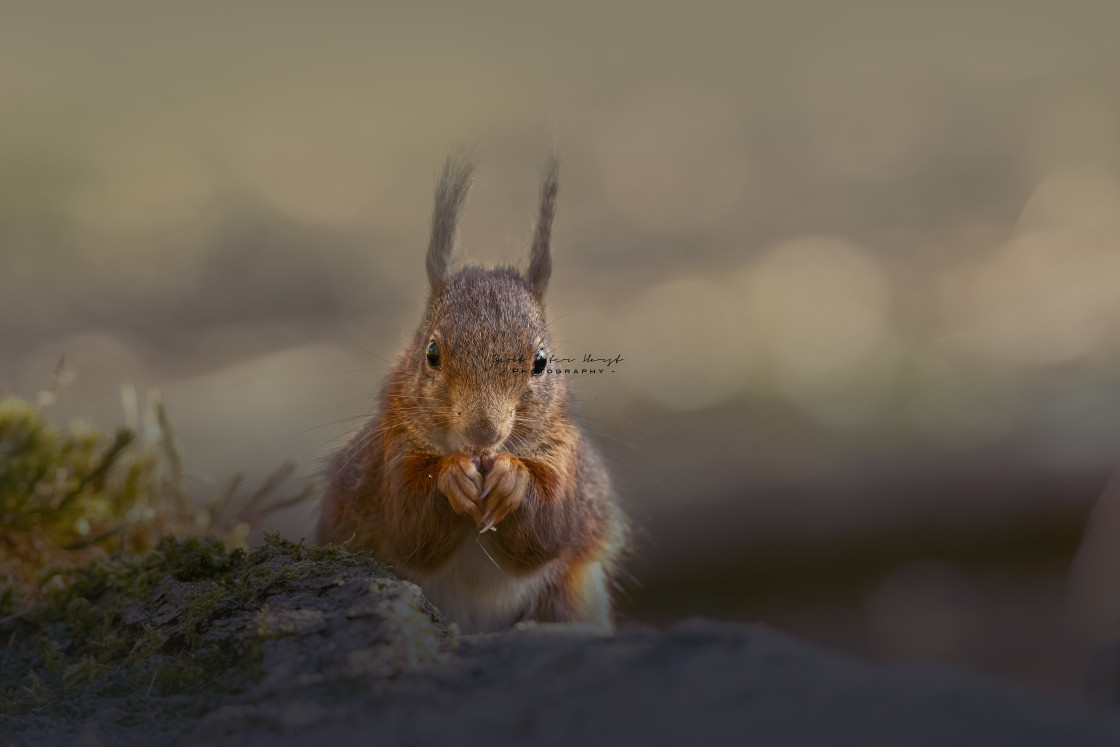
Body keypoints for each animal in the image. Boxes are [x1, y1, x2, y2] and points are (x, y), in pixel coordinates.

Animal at [315, 154, 631, 636]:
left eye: (541, 361)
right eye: (431, 353)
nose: (483, 433)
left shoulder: (566, 453)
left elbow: (548, 531)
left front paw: (514, 477)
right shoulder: (394, 446)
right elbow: (410, 527)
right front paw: (451, 475)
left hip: (570, 595)